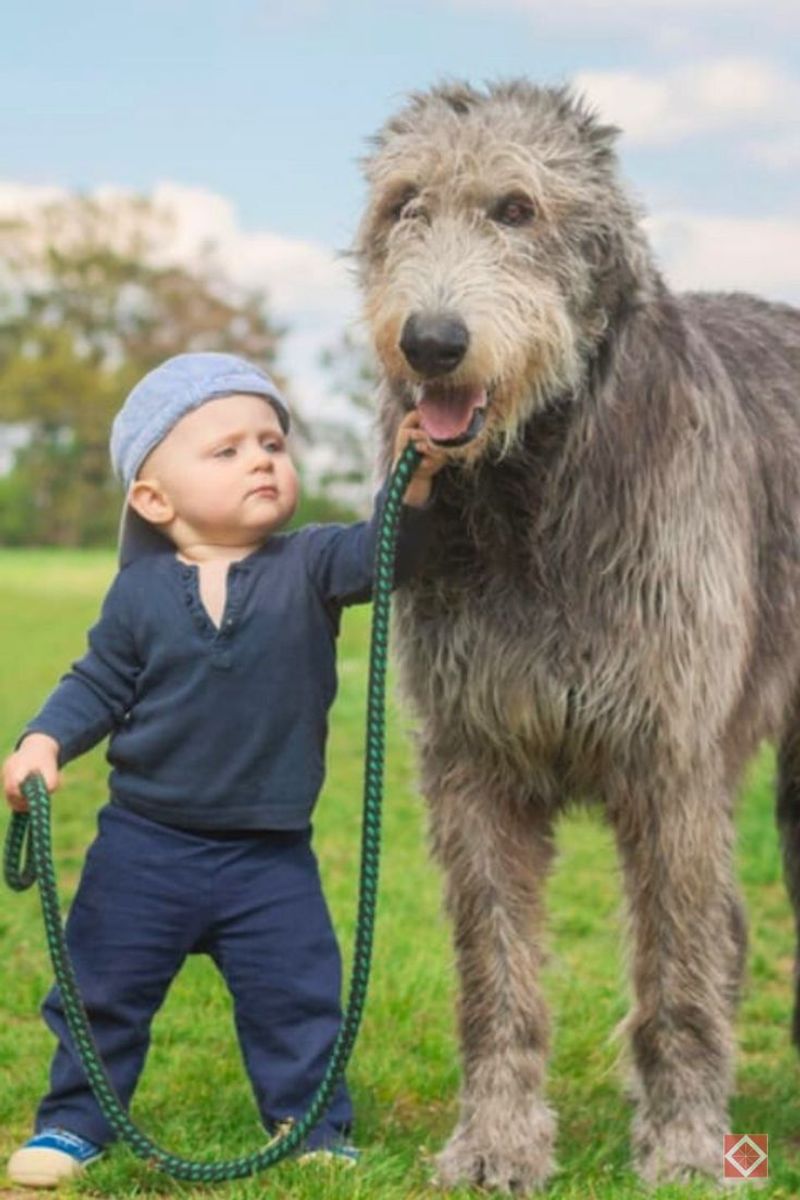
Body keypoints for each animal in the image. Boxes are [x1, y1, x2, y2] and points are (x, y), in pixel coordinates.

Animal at [352, 82, 800, 1190]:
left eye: (516, 209)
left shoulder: (671, 761)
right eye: (403, 204)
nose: (431, 341)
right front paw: (495, 1140)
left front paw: (682, 1144)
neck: (531, 490)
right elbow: (495, 976)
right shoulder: (470, 763)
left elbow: (677, 971)